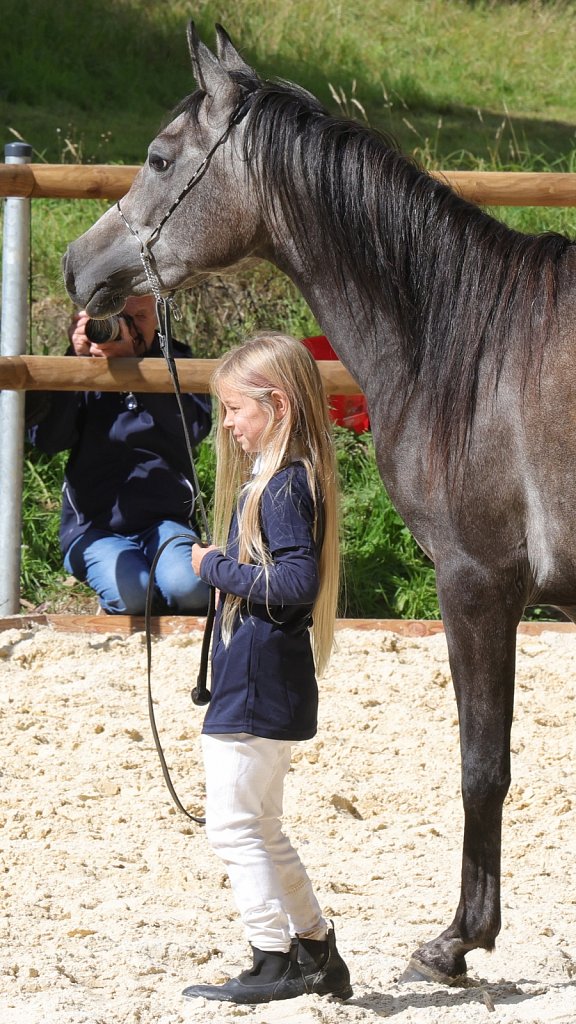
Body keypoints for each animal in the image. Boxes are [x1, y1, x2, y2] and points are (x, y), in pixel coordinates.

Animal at [62, 22, 576, 984]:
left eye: (159, 157)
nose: (79, 266)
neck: (470, 344)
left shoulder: (478, 586)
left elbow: (481, 765)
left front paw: (457, 942)